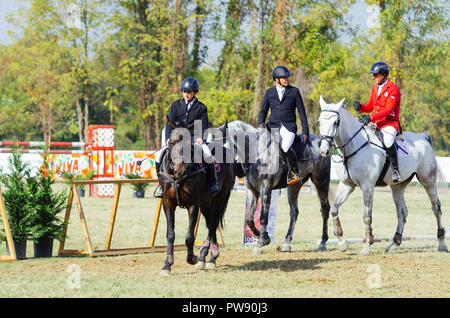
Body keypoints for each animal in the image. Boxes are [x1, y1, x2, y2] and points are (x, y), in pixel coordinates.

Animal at [158, 118, 236, 274]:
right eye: (171, 143)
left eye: (188, 143)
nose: (180, 170)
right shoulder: (168, 203)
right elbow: (170, 234)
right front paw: (167, 265)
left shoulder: (193, 205)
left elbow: (189, 237)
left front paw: (192, 258)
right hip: (206, 203)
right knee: (211, 221)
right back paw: (210, 257)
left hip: (219, 198)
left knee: (213, 224)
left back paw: (205, 257)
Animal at [207, 120, 334, 255]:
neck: (256, 153)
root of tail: (321, 143)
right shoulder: (252, 191)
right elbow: (249, 219)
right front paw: (264, 237)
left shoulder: (266, 188)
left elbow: (263, 216)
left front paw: (261, 242)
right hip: (294, 186)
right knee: (294, 212)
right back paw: (287, 243)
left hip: (321, 181)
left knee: (325, 209)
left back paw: (322, 242)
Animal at [318, 95, 448, 255]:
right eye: (320, 121)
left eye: (336, 122)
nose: (324, 151)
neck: (354, 145)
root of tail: (423, 138)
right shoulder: (347, 185)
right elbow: (334, 209)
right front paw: (342, 242)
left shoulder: (367, 187)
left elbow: (367, 216)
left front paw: (367, 246)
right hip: (398, 186)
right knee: (402, 212)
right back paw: (394, 244)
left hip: (427, 180)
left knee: (436, 208)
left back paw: (442, 244)